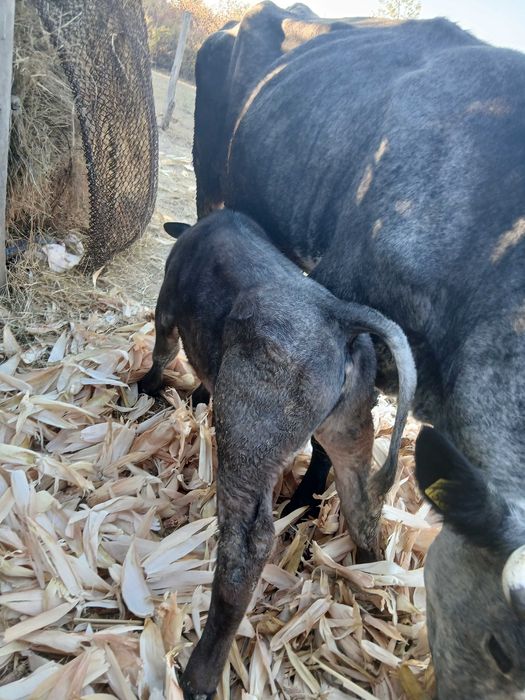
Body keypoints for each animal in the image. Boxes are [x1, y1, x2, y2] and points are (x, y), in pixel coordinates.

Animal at [140, 208, 416, 698]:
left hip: (250, 439)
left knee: (247, 547)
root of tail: (337, 315)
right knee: (362, 504)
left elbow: (163, 352)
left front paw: (148, 388)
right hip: (349, 432)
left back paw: (199, 675)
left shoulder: (166, 307)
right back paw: (373, 581)